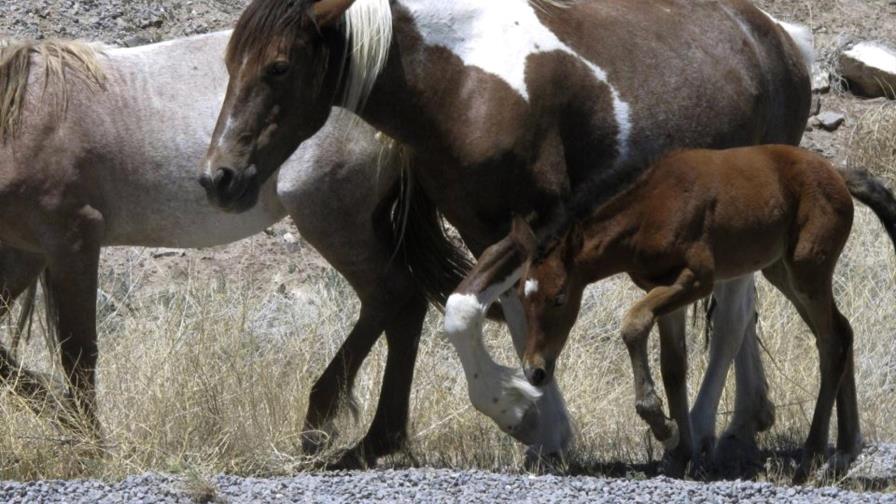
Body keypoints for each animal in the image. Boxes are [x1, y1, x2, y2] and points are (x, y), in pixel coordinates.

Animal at [0, 31, 469, 465]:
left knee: (392, 295)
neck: (22, 117)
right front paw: (63, 418)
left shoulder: (73, 240)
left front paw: (89, 445)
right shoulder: (25, 254)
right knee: (404, 307)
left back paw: (324, 427)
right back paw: (375, 441)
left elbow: (79, 353)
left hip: (328, 216)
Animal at [202, 0, 813, 471]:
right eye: (229, 62)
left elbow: (460, 312)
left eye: (279, 67)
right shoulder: (484, 229)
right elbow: (521, 322)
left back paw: (707, 431)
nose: (218, 177)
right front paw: (547, 431)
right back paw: (730, 427)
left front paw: (516, 411)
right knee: (720, 321)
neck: (457, 83)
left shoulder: (538, 222)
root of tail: (781, 37)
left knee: (732, 319)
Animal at [489, 145, 896, 480]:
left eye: (559, 298)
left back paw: (812, 455)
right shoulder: (663, 288)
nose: (535, 370)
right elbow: (674, 365)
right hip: (782, 271)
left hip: (808, 268)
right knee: (842, 332)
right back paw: (844, 451)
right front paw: (681, 453)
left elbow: (633, 323)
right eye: (522, 298)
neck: (650, 208)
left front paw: (661, 425)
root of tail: (836, 173)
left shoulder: (697, 280)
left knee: (832, 342)